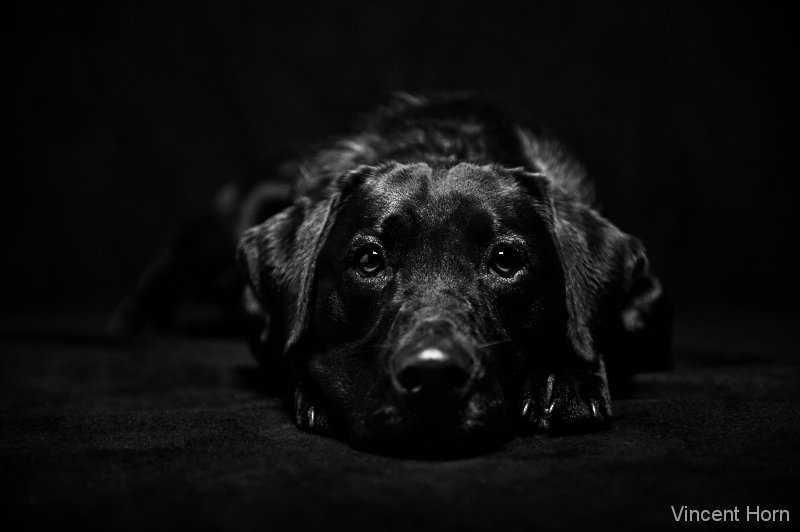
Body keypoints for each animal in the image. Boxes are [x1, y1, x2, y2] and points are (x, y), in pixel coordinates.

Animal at [116, 92, 672, 456]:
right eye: (370, 260)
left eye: (505, 260)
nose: (433, 374)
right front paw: (321, 390)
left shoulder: (646, 300)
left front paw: (566, 378)